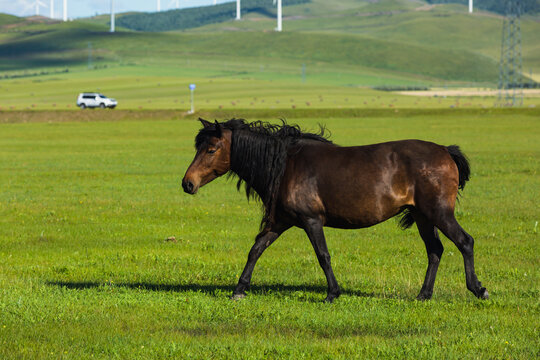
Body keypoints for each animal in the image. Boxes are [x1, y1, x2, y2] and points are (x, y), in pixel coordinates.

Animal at [182, 119, 490, 302]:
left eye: (211, 149)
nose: (187, 183)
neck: (286, 165)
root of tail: (446, 151)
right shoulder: (280, 222)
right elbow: (256, 250)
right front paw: (239, 289)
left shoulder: (311, 220)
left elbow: (323, 256)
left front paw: (332, 293)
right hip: (423, 217)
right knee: (435, 250)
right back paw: (424, 294)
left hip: (439, 213)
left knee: (465, 242)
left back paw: (478, 289)